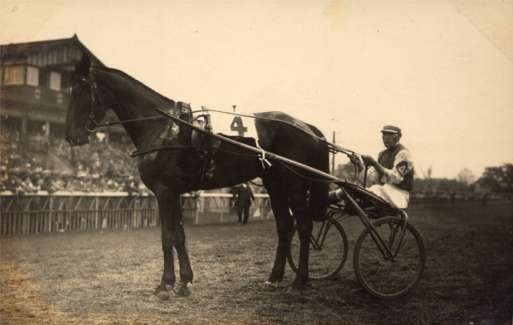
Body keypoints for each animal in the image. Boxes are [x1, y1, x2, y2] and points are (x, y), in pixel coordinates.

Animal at [65, 55, 328, 296]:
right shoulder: (174, 193)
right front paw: (185, 281)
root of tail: (306, 127)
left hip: (294, 186)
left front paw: (166, 284)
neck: (164, 128)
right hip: (275, 185)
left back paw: (299, 281)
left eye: (81, 90)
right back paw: (274, 278)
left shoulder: (164, 192)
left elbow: (167, 236)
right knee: (285, 226)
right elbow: (179, 236)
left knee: (304, 226)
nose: (72, 136)